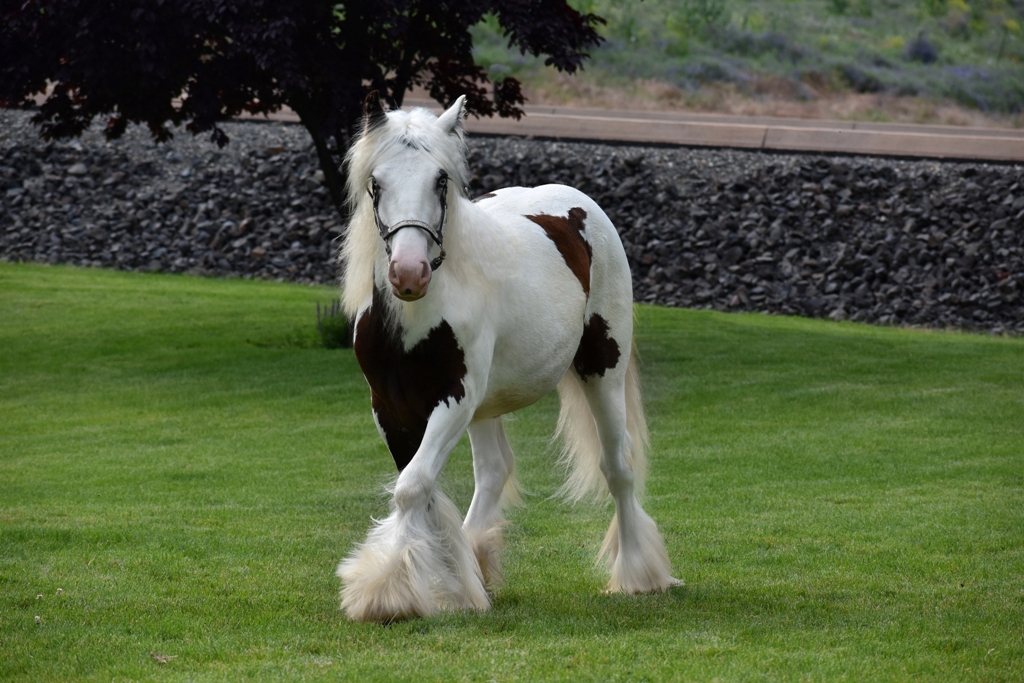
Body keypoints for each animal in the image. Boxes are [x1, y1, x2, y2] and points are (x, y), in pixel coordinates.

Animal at [336, 91, 681, 623]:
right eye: (376, 182)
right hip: (487, 405)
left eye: (441, 180)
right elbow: (420, 487)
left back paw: (639, 575)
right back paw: (477, 566)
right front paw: (448, 588)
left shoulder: (453, 399)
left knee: (617, 467)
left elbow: (413, 486)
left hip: (602, 371)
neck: (416, 317)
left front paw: (387, 592)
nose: (409, 273)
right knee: (496, 470)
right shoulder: (390, 408)